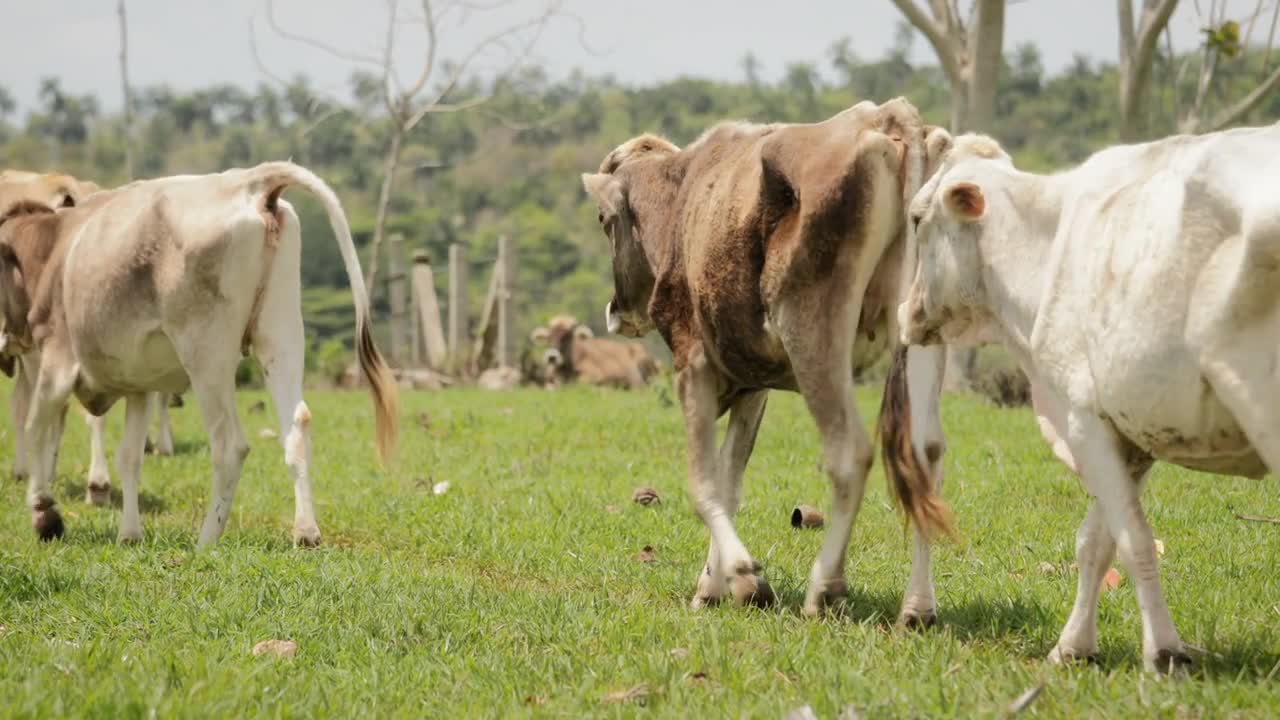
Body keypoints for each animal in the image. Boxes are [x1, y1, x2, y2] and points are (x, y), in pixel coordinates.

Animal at [581, 98, 952, 620]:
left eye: (602, 218)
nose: (615, 311)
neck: (684, 198)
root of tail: (887, 117)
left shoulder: (693, 365)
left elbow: (703, 483)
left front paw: (742, 575)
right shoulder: (751, 384)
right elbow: (729, 480)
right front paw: (714, 585)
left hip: (814, 333)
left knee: (850, 453)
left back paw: (825, 587)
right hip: (923, 335)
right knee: (924, 456)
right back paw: (918, 607)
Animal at [896, 126, 1280, 671]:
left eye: (916, 217)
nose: (905, 314)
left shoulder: (1083, 418)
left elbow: (1134, 541)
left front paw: (1164, 652)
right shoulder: (1128, 434)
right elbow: (1096, 542)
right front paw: (1074, 646)